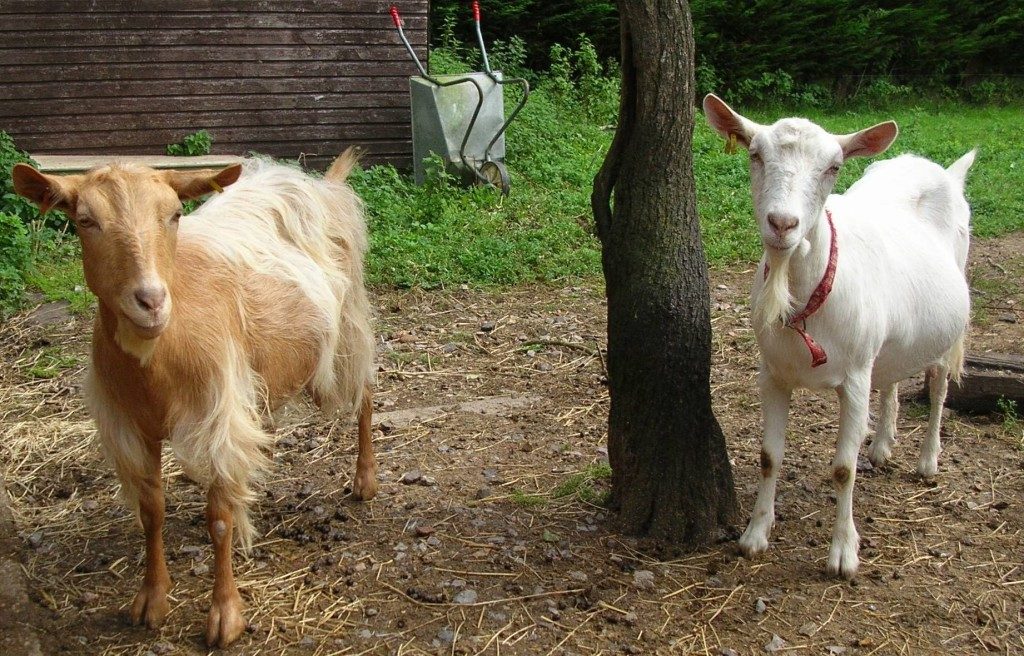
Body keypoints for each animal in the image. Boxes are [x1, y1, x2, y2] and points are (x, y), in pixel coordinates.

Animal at [11, 152, 380, 646]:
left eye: (174, 215)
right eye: (85, 221)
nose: (150, 301)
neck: (158, 358)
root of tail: (319, 184)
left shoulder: (217, 416)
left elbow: (219, 519)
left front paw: (225, 616)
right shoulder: (130, 427)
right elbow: (152, 511)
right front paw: (151, 600)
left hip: (349, 328)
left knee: (364, 395)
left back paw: (364, 480)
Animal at [704, 93, 974, 577]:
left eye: (833, 167)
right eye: (755, 154)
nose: (782, 223)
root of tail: (942, 171)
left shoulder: (854, 379)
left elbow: (844, 468)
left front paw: (843, 555)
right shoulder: (772, 373)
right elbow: (769, 456)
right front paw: (754, 536)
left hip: (947, 325)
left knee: (940, 384)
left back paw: (927, 460)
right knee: (894, 377)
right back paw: (882, 446)